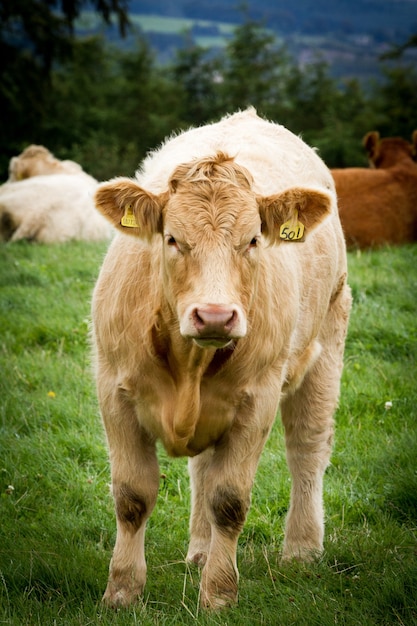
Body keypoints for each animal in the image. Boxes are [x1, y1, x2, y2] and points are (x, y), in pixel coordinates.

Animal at [92, 108, 352, 608]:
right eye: (172, 239)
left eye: (252, 240)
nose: (214, 315)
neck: (189, 364)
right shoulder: (114, 390)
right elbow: (132, 497)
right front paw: (122, 590)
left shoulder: (257, 400)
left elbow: (228, 500)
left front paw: (218, 595)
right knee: (202, 469)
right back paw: (198, 550)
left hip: (328, 342)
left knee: (307, 449)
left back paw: (302, 549)